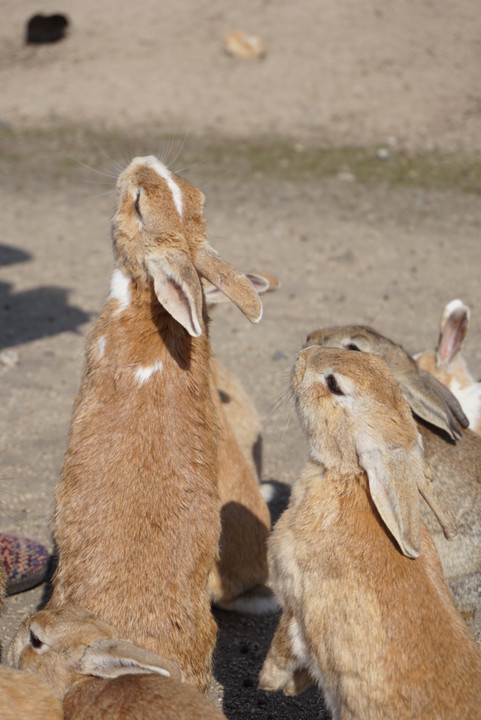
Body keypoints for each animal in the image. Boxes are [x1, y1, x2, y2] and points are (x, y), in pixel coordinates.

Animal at [258, 346, 480, 716]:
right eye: (374, 362)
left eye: (334, 384)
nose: (303, 355)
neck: (349, 477)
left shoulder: (296, 597)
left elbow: (286, 642)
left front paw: (270, 682)